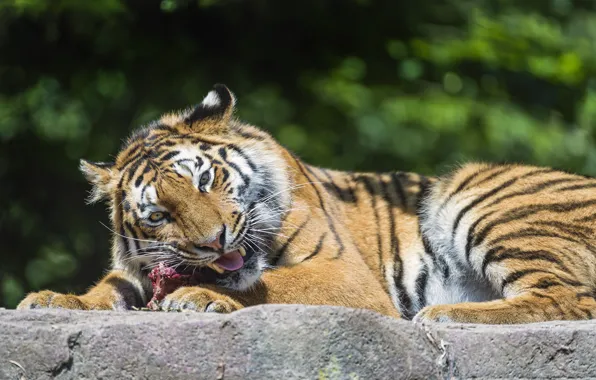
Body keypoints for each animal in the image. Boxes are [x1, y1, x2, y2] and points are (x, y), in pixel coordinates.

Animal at [16, 84, 596, 322]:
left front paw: (200, 296)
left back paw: (446, 315)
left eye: (204, 180)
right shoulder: (138, 265)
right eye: (158, 216)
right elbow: (108, 288)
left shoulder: (344, 273)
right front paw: (52, 300)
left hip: (478, 196)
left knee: (570, 298)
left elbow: (270, 285)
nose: (214, 243)